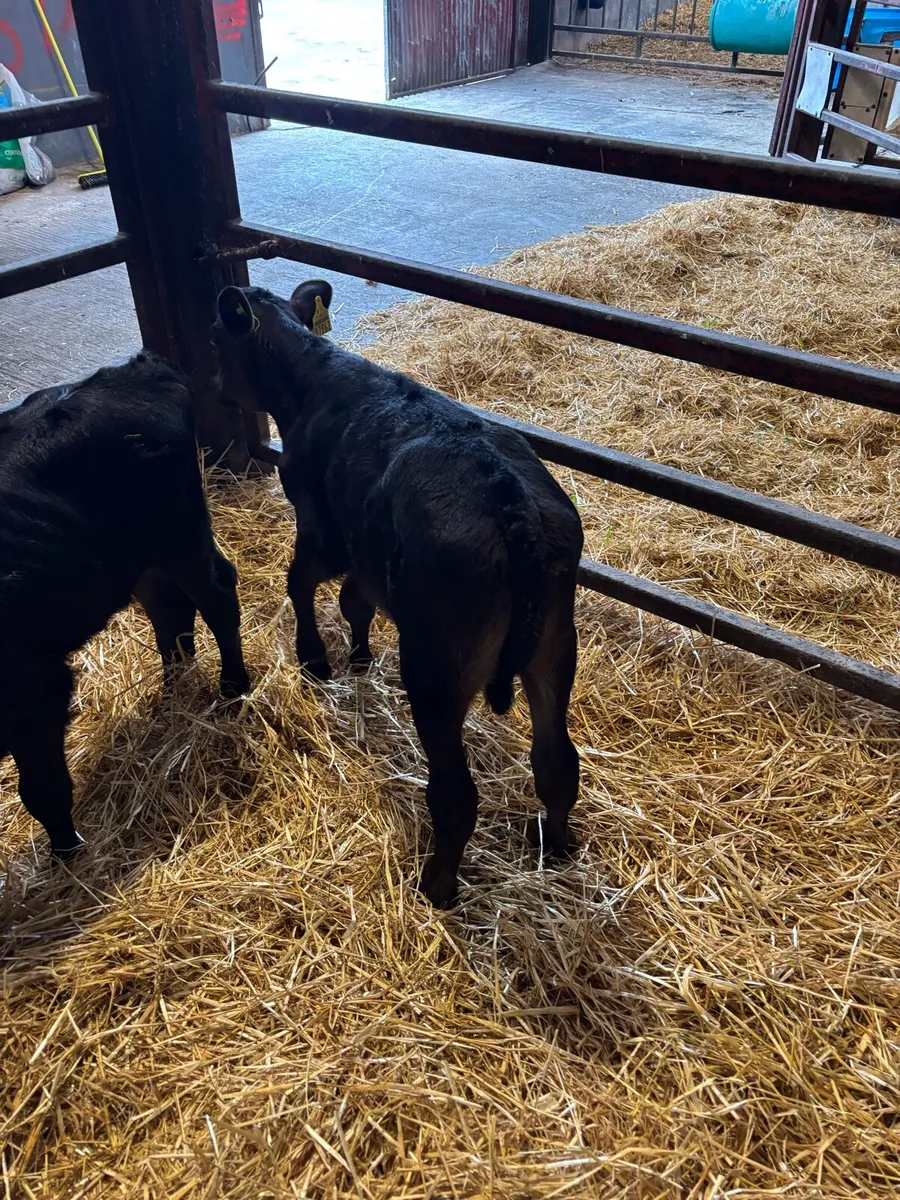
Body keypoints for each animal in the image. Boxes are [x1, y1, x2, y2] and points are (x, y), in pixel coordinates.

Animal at [0, 352, 250, 859]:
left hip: (178, 533)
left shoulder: (34, 690)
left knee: (215, 592)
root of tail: (136, 368)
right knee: (170, 614)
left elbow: (42, 790)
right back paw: (172, 696)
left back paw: (233, 685)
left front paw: (66, 855)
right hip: (141, 559)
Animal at [213, 280, 584, 907]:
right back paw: (554, 846)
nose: (206, 386)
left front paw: (315, 660)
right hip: (555, 644)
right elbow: (355, 602)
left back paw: (437, 885)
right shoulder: (365, 552)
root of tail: (505, 493)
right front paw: (359, 657)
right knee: (557, 761)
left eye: (215, 338)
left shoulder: (322, 527)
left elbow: (300, 581)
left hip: (438, 668)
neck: (310, 378)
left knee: (456, 795)